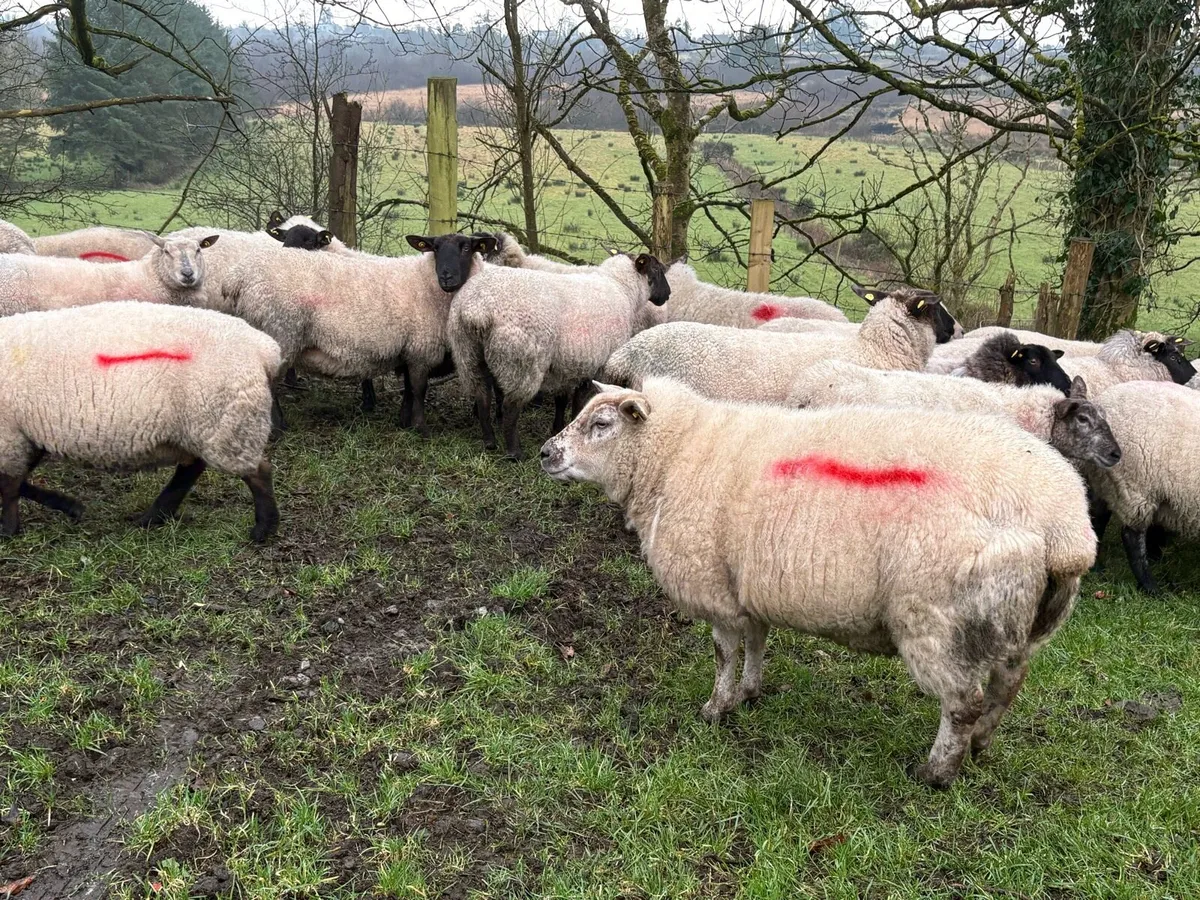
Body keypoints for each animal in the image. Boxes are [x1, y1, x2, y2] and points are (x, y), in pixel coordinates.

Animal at [0, 301, 280, 542]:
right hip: (205, 425)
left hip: (227, 422)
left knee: (257, 472)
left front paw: (9, 530)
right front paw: (69, 506)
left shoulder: (9, 436)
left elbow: (10, 486)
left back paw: (263, 528)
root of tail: (264, 348)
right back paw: (154, 516)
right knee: (192, 468)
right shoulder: (24, 434)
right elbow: (17, 483)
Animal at [222, 232, 496, 435]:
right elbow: (419, 389)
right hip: (280, 331)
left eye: (466, 248)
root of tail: (237, 277)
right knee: (267, 385)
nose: (446, 276)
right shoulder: (421, 347)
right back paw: (278, 430)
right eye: (435, 249)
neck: (427, 284)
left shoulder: (410, 348)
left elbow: (409, 389)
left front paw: (404, 422)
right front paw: (421, 429)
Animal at [447, 252, 671, 459]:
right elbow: (581, 400)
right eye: (657, 269)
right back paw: (514, 453)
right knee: (511, 407)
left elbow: (562, 399)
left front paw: (558, 427)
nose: (667, 295)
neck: (622, 289)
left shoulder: (569, 364)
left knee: (482, 397)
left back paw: (489, 442)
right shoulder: (595, 364)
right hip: (521, 363)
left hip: (468, 353)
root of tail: (477, 310)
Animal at [539, 377, 1095, 787]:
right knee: (1008, 684)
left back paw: (936, 772)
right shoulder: (748, 587)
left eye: (602, 424)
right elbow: (756, 644)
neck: (672, 459)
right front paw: (750, 693)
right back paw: (980, 746)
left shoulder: (714, 589)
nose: (545, 453)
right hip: (1015, 623)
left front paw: (715, 708)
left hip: (939, 619)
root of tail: (1068, 527)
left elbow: (723, 654)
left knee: (963, 703)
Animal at [1084, 381, 1200, 594]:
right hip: (1136, 484)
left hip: (1105, 481)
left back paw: (1096, 567)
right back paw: (1152, 588)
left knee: (1098, 517)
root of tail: (1105, 402)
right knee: (1131, 536)